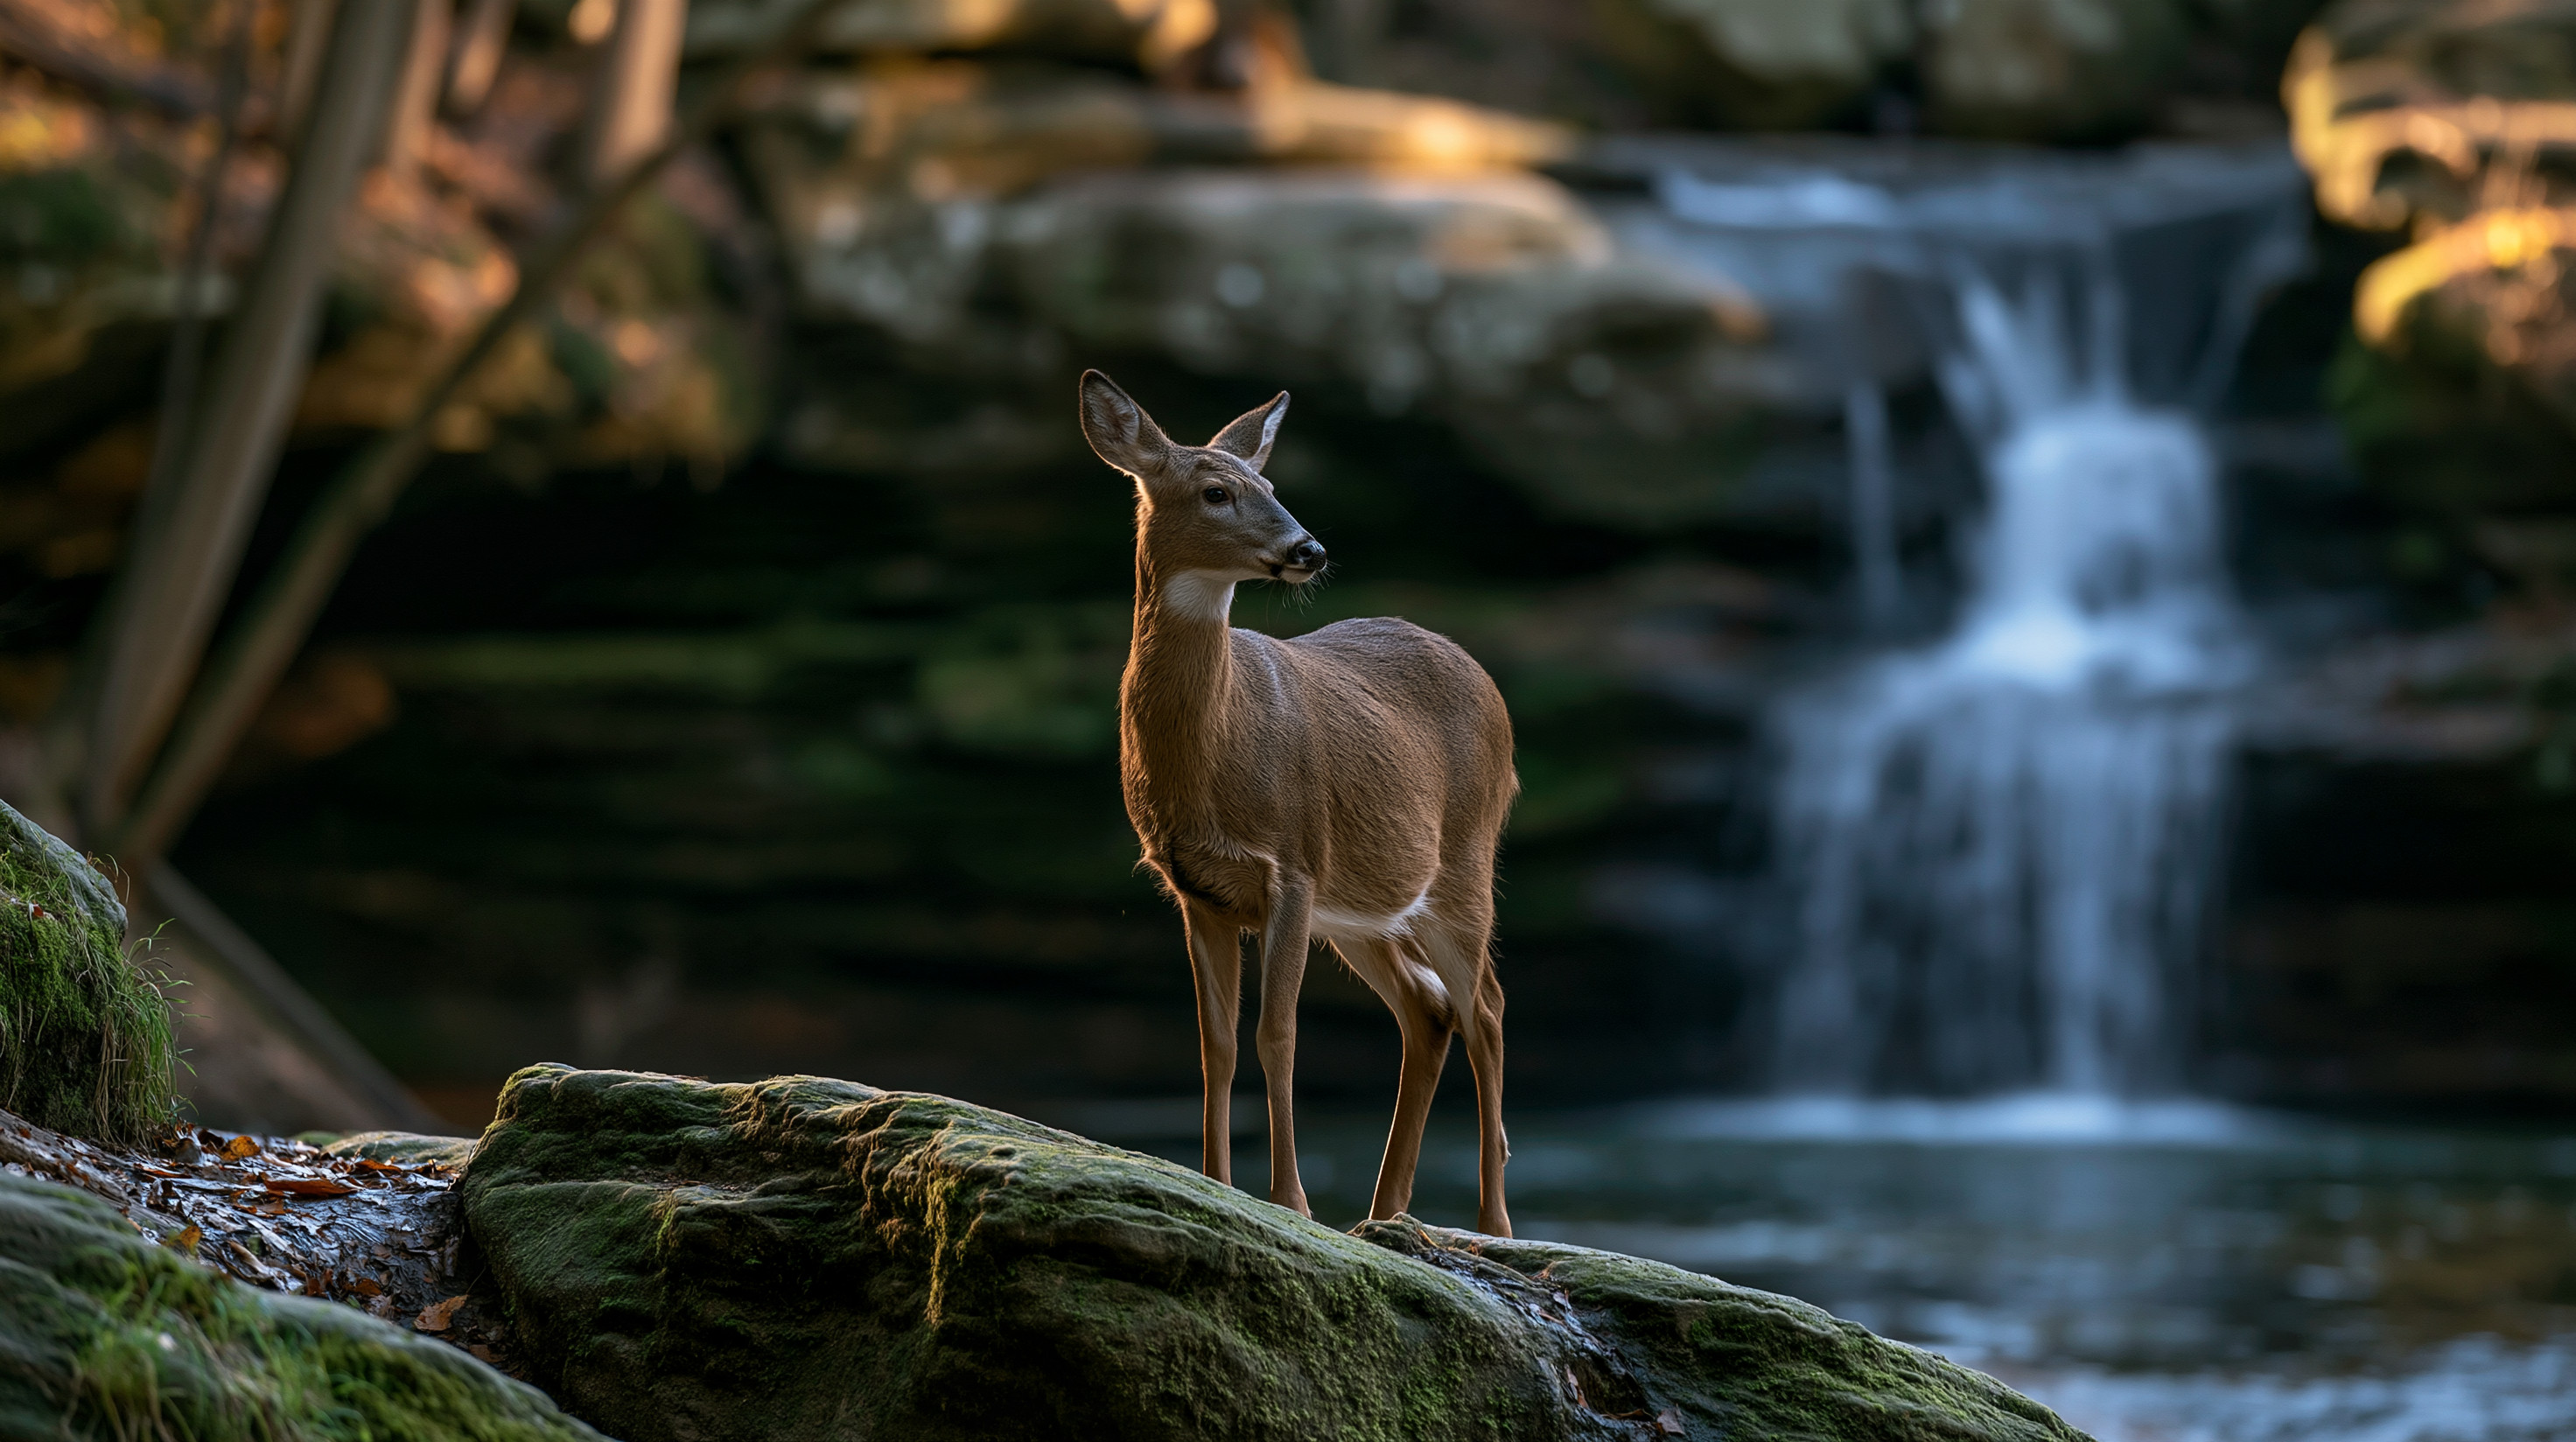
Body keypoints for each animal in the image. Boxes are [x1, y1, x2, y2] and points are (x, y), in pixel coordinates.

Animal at [1077, 369, 1520, 1236]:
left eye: (1273, 486)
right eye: (1217, 491)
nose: (1307, 549)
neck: (1215, 751)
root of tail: (1490, 687)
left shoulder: (1292, 865)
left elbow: (1276, 1034)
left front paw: (1290, 1201)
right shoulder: (1197, 888)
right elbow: (1216, 1044)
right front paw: (1215, 1182)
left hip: (1461, 863)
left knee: (1485, 1006)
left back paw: (1492, 1225)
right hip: (1362, 912)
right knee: (1430, 1008)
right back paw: (1386, 1215)